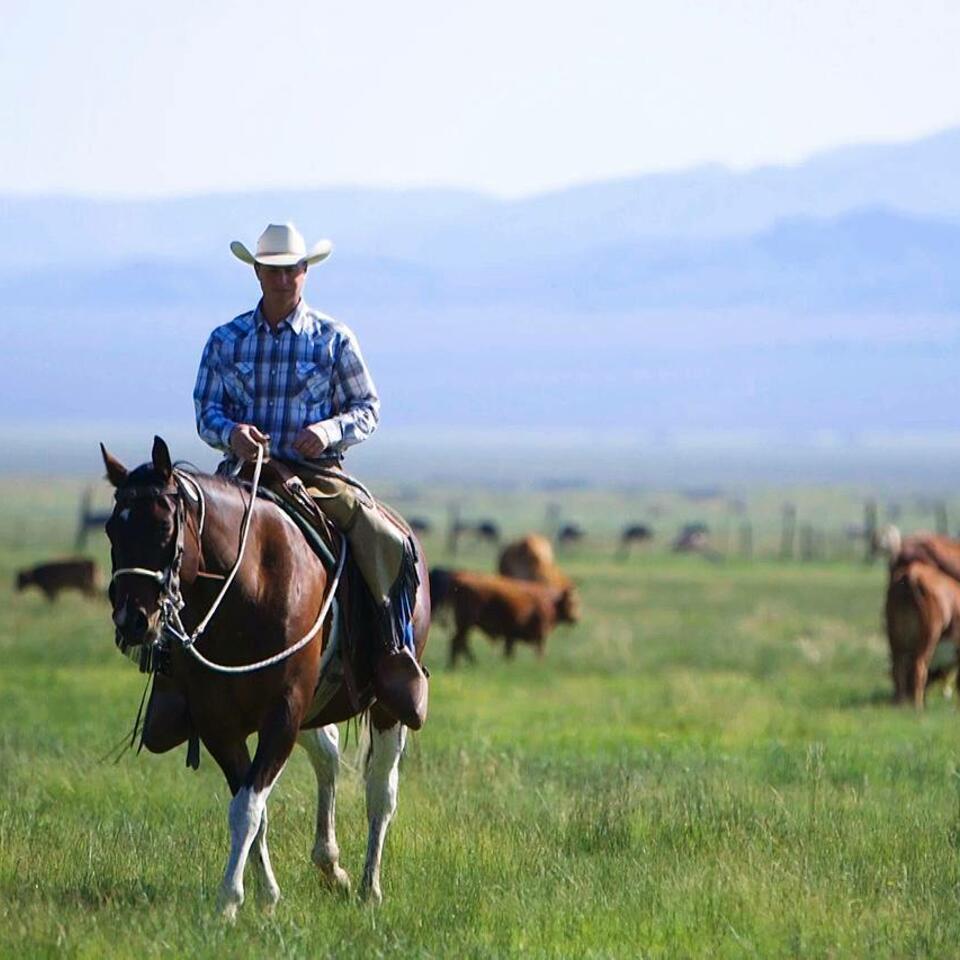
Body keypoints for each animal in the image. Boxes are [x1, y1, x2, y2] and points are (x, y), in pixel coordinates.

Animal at [101, 436, 428, 916]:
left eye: (163, 526)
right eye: (111, 530)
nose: (132, 621)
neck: (249, 586)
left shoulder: (284, 710)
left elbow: (249, 807)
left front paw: (228, 900)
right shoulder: (218, 722)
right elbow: (251, 804)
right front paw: (265, 894)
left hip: (387, 708)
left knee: (380, 791)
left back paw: (370, 886)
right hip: (315, 706)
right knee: (328, 756)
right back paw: (331, 866)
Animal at [438, 568, 580, 668]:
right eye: (572, 602)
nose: (576, 618)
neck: (551, 602)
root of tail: (460, 578)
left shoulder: (511, 635)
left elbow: (509, 653)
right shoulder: (540, 635)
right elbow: (539, 652)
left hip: (465, 625)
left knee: (461, 642)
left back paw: (466, 663)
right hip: (465, 624)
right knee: (458, 642)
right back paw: (458, 665)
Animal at [884, 560, 960, 708]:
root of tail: (912, 573)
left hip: (895, 637)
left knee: (898, 667)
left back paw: (900, 703)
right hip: (929, 636)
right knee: (919, 667)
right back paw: (918, 706)